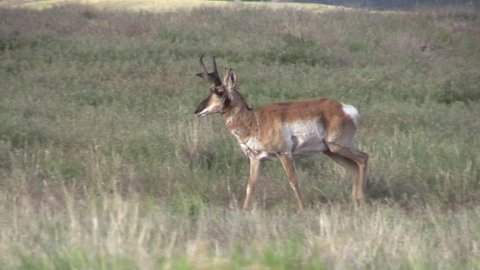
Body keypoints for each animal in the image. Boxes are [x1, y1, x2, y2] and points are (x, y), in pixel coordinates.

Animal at [194, 55, 368, 211]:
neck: (253, 120)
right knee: (354, 167)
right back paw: (355, 201)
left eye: (219, 92)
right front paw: (243, 211)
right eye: (210, 90)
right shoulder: (256, 159)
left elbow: (293, 181)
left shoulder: (284, 153)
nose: (197, 111)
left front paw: (302, 210)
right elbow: (250, 185)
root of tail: (346, 108)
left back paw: (361, 199)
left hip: (338, 146)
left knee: (363, 158)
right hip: (331, 151)